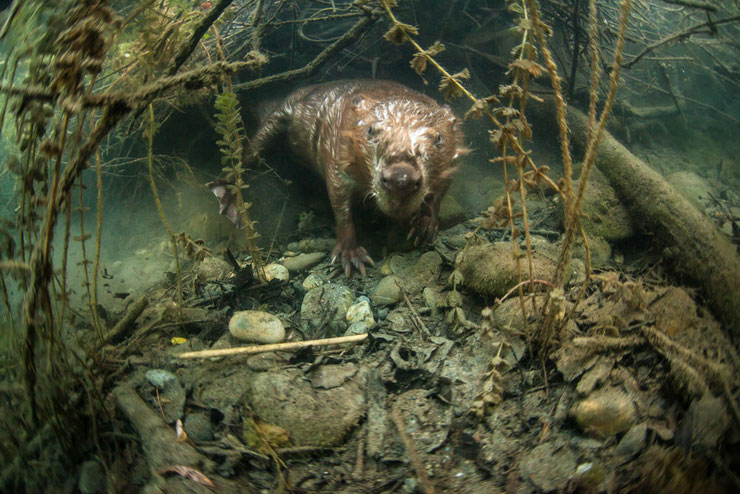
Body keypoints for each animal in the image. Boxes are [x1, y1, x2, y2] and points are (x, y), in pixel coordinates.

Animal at [217, 79, 466, 276]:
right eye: (371, 130)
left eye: (438, 138)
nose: (400, 180)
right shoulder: (339, 150)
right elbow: (340, 200)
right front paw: (352, 255)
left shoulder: (453, 159)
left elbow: (440, 191)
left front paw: (423, 227)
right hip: (280, 115)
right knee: (249, 154)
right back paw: (228, 199)